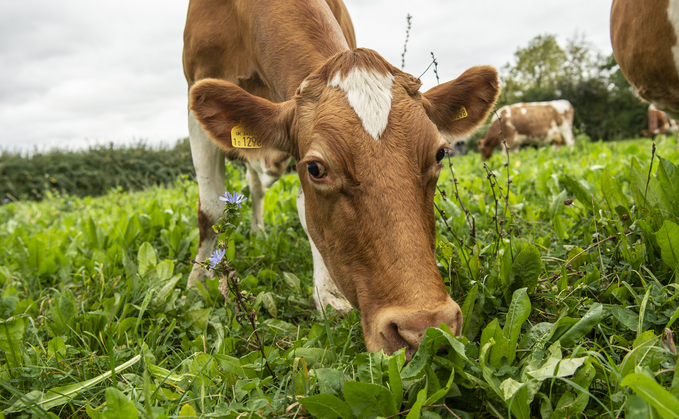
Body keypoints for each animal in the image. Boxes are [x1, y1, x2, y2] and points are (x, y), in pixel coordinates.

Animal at [181, 0, 500, 360]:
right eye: (316, 168)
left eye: (440, 154)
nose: (425, 328)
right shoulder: (195, 91)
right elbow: (211, 209)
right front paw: (198, 281)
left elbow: (305, 209)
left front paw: (325, 294)